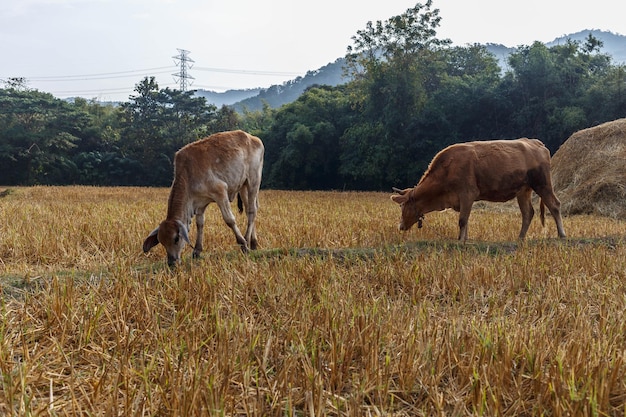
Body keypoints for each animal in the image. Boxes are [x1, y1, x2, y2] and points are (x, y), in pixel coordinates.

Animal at [143, 130, 262, 264]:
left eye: (176, 239)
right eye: (162, 242)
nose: (172, 262)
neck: (188, 173)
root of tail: (253, 138)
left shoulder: (220, 192)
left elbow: (230, 220)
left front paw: (242, 243)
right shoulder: (199, 204)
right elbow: (200, 224)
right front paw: (197, 251)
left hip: (254, 180)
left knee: (252, 210)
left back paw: (247, 240)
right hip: (243, 186)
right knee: (248, 210)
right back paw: (253, 242)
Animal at [388, 137, 564, 240]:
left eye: (402, 205)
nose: (400, 226)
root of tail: (536, 142)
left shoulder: (467, 194)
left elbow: (462, 220)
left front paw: (460, 241)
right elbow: (466, 221)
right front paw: (464, 239)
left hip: (543, 183)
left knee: (554, 205)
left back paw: (561, 234)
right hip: (523, 190)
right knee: (528, 213)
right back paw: (520, 238)